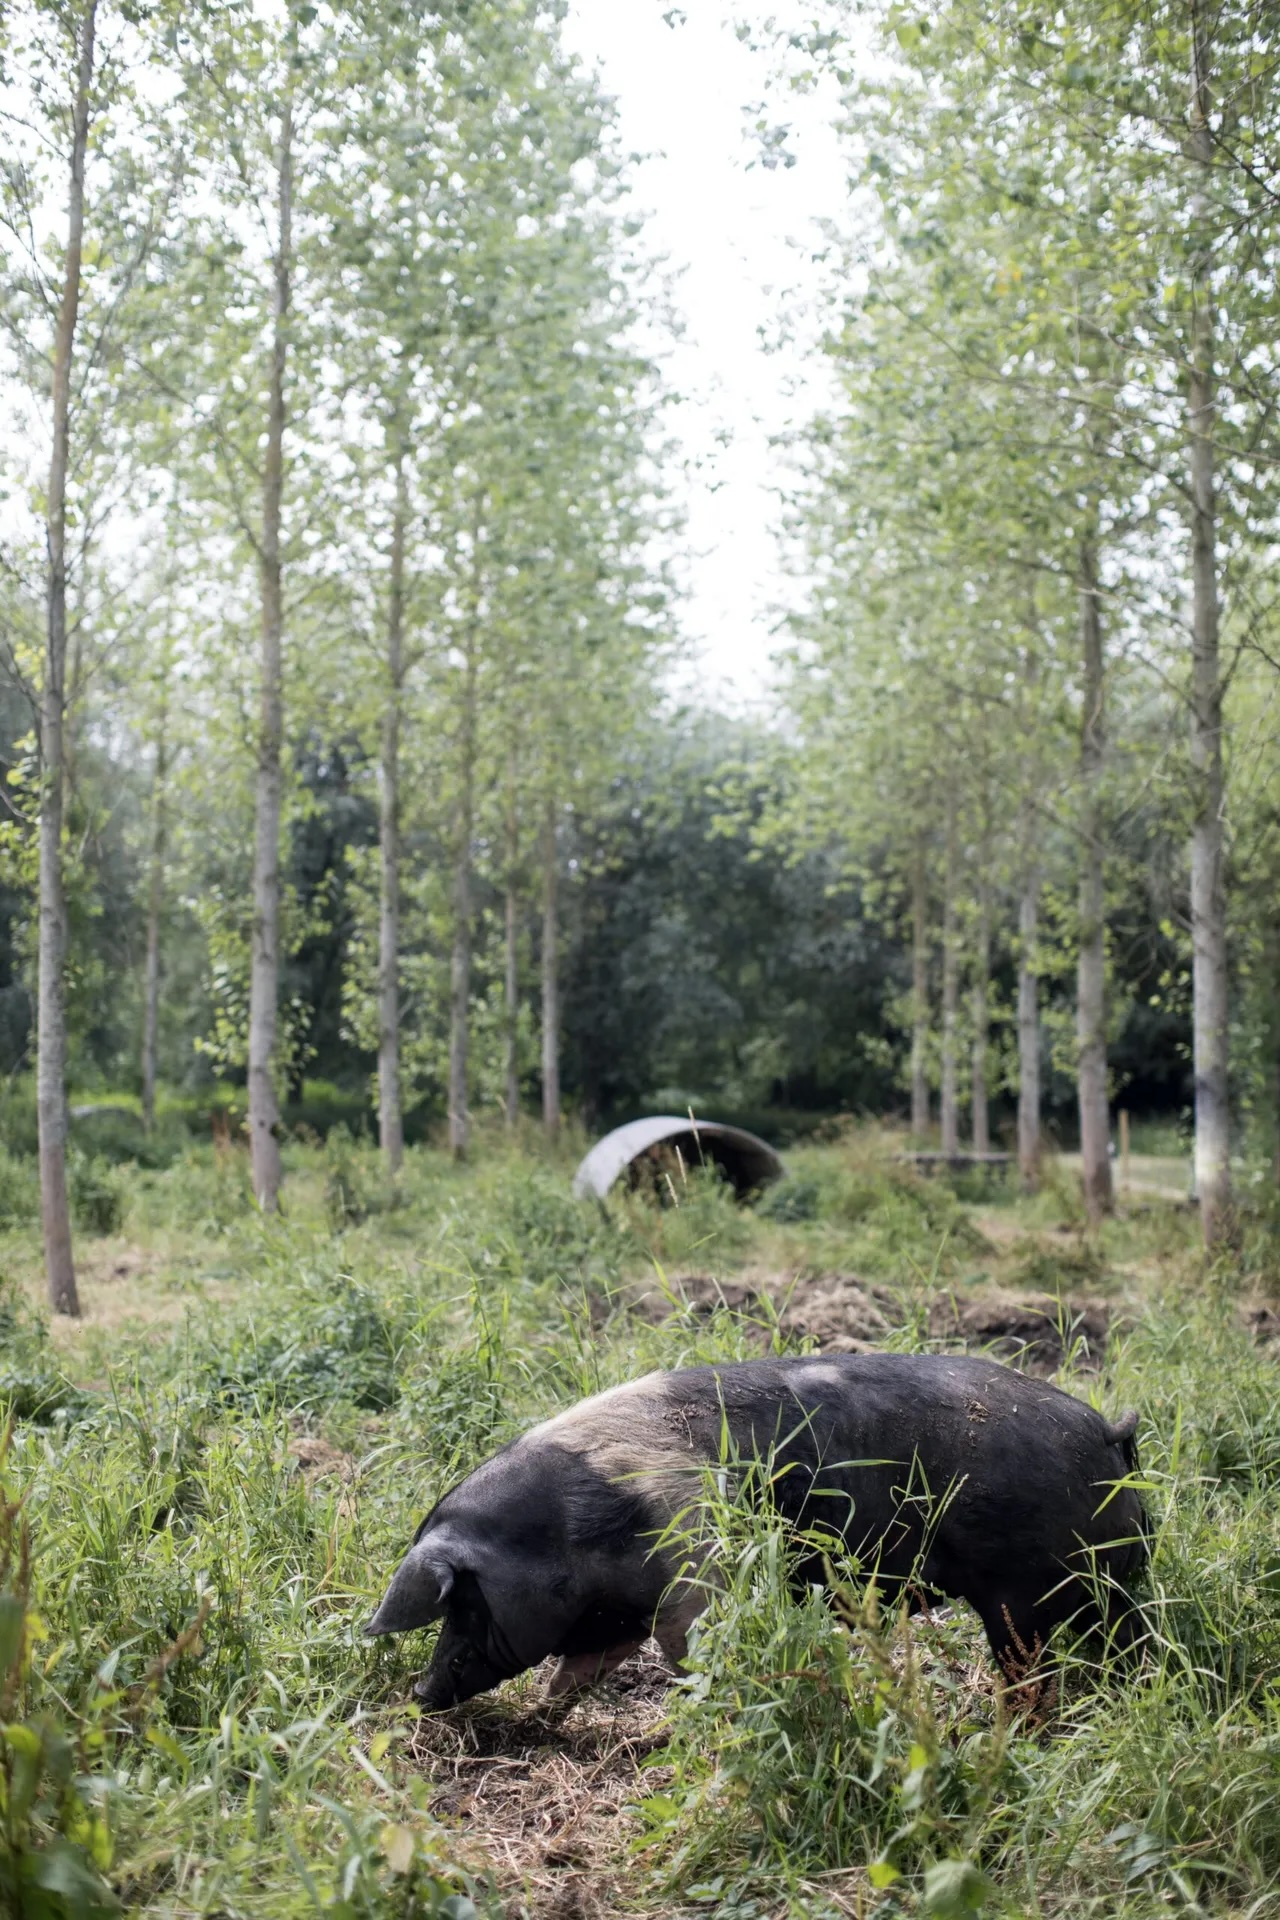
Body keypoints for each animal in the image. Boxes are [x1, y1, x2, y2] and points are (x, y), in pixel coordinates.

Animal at [365, 1352, 1148, 1710]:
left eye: (464, 1603)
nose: (419, 1693)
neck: (570, 1530)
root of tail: (1109, 1431)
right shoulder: (613, 1615)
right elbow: (582, 1664)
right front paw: (547, 1707)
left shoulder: (696, 1560)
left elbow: (688, 1645)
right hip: (1115, 1581)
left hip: (1021, 1591)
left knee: (1029, 1665)